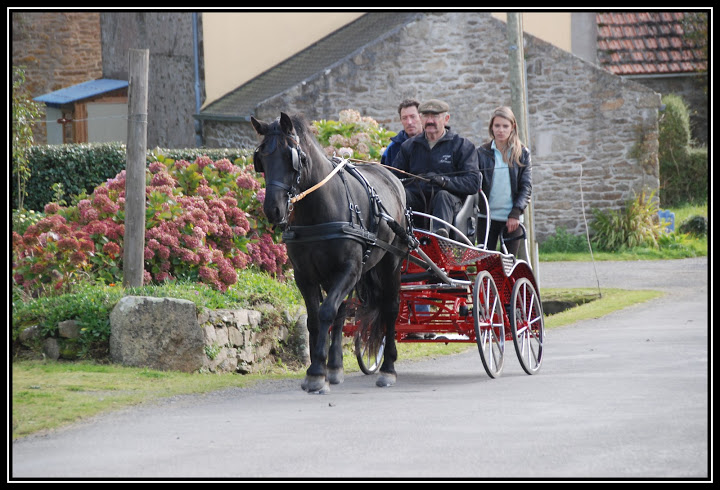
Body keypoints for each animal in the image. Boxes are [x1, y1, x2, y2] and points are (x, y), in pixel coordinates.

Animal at [252, 113, 410, 392]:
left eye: (293, 158)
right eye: (261, 159)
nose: (273, 209)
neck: (318, 212)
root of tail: (391, 176)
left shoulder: (349, 269)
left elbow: (326, 311)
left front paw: (317, 372)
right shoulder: (305, 275)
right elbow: (316, 319)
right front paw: (317, 370)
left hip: (390, 262)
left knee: (390, 308)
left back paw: (388, 368)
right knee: (343, 309)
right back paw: (335, 367)